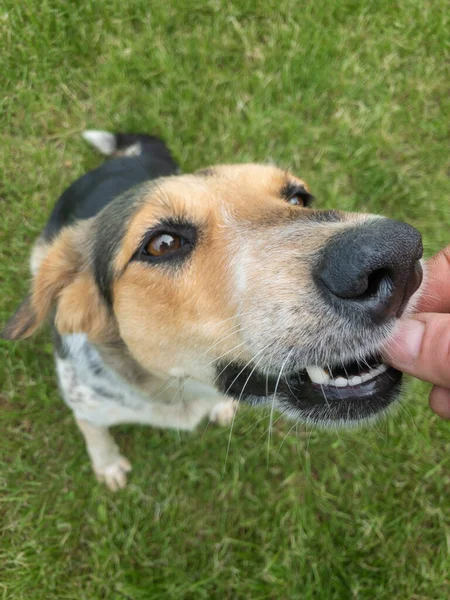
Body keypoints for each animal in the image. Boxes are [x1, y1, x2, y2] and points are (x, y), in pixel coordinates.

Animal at [0, 130, 422, 488]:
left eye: (299, 198)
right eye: (163, 244)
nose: (401, 258)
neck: (177, 389)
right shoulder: (86, 405)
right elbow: (95, 433)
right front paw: (108, 466)